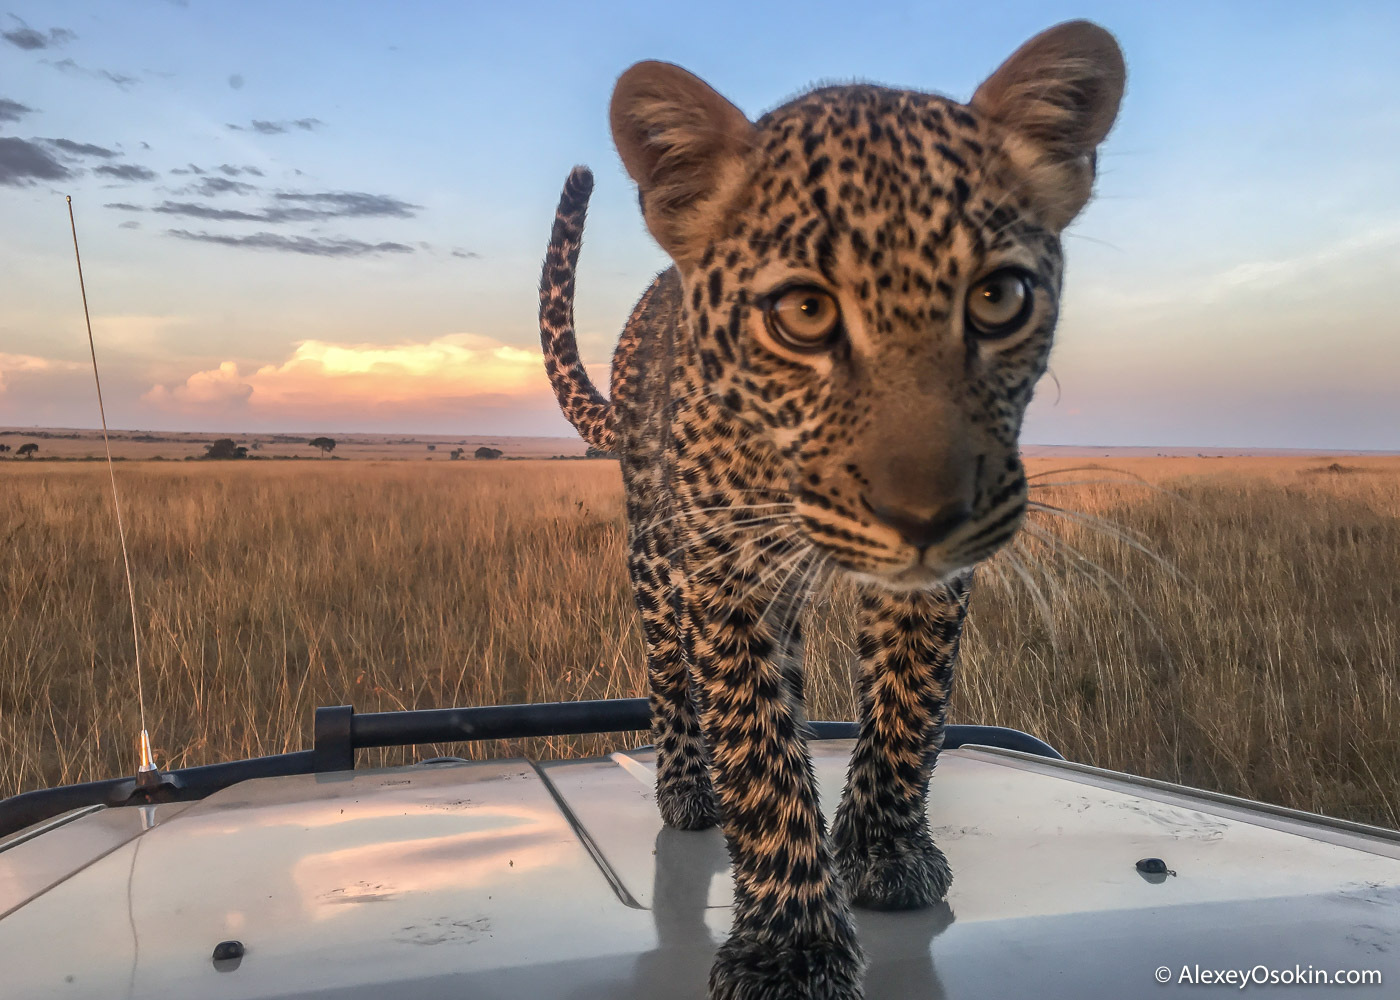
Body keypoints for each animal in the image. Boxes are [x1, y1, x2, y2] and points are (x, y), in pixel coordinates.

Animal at [534, 21, 1125, 997]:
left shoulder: (928, 583)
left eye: (998, 298)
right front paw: (791, 943)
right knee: (668, 670)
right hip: (656, 551)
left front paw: (883, 851)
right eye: (805, 312)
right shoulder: (726, 574)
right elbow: (755, 750)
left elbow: (909, 707)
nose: (925, 516)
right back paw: (686, 785)